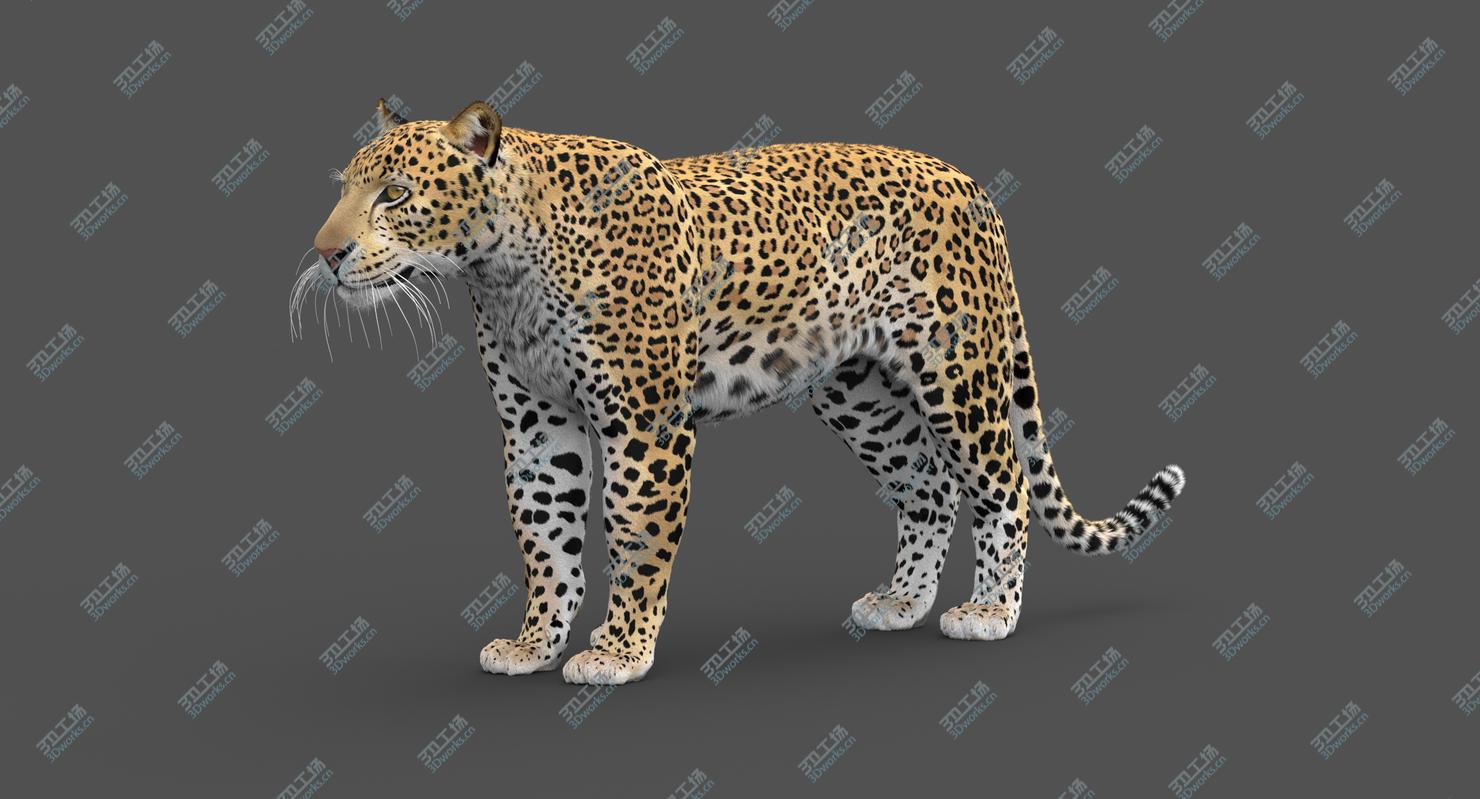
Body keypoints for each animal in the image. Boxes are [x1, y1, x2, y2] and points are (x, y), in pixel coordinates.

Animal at [295, 99, 1187, 685]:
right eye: (342, 187)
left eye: (396, 194)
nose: (326, 253)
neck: (501, 269)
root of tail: (970, 181)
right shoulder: (536, 429)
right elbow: (545, 539)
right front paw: (534, 643)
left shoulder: (644, 424)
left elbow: (634, 536)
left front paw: (617, 652)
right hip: (858, 391)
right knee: (928, 486)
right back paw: (901, 600)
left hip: (957, 370)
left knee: (1001, 482)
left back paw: (992, 611)